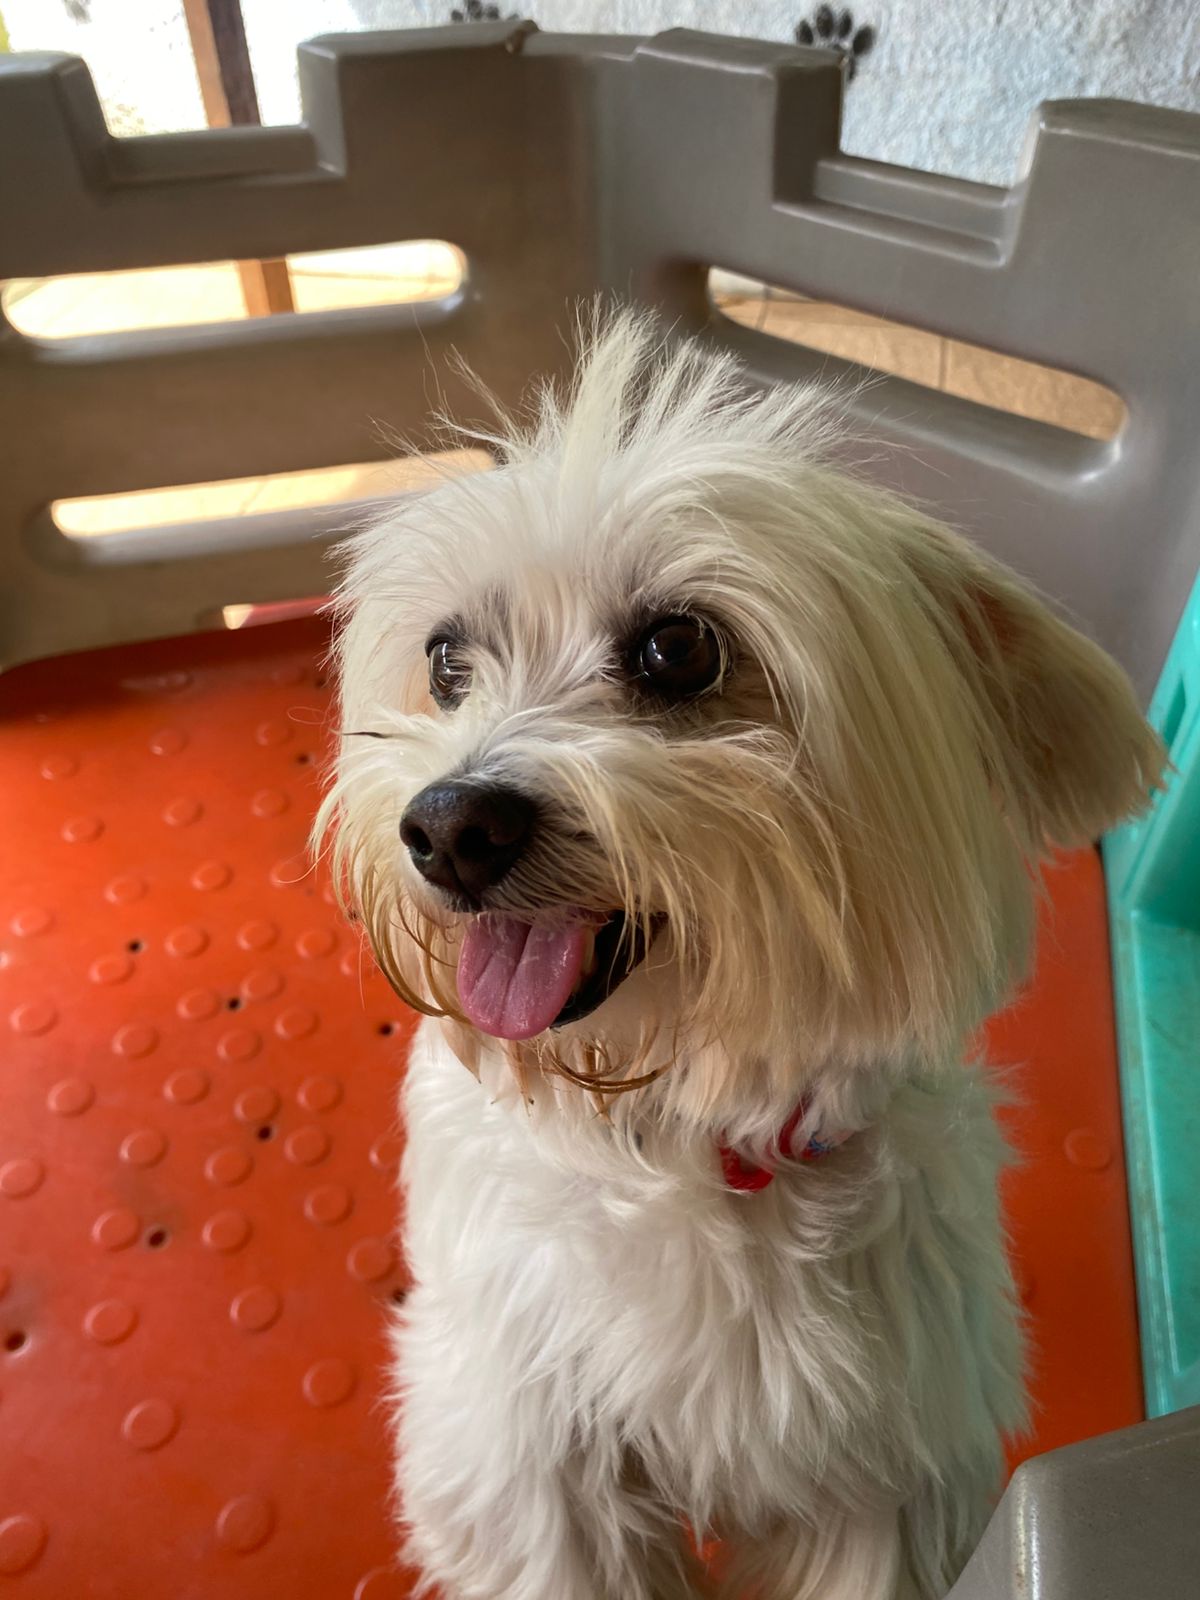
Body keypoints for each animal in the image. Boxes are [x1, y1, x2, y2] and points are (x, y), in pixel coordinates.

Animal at [318, 312, 1162, 1600]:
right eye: (449, 660)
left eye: (678, 649)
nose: (451, 824)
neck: (686, 1132)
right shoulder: (533, 1471)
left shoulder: (887, 1464)